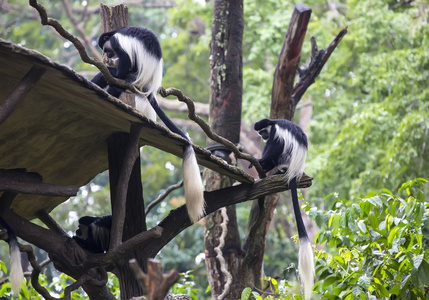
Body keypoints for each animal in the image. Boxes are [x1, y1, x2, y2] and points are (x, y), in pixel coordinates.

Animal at [90, 26, 204, 223]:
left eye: (107, 49)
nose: (108, 56)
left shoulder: (119, 42)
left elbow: (126, 59)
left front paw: (115, 70)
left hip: (133, 77)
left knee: (118, 76)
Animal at [252, 118, 312, 298]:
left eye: (263, 131)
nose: (262, 136)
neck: (273, 122)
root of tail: (295, 170)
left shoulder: (276, 131)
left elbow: (275, 144)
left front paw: (261, 161)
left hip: (285, 158)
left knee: (277, 147)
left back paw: (265, 165)